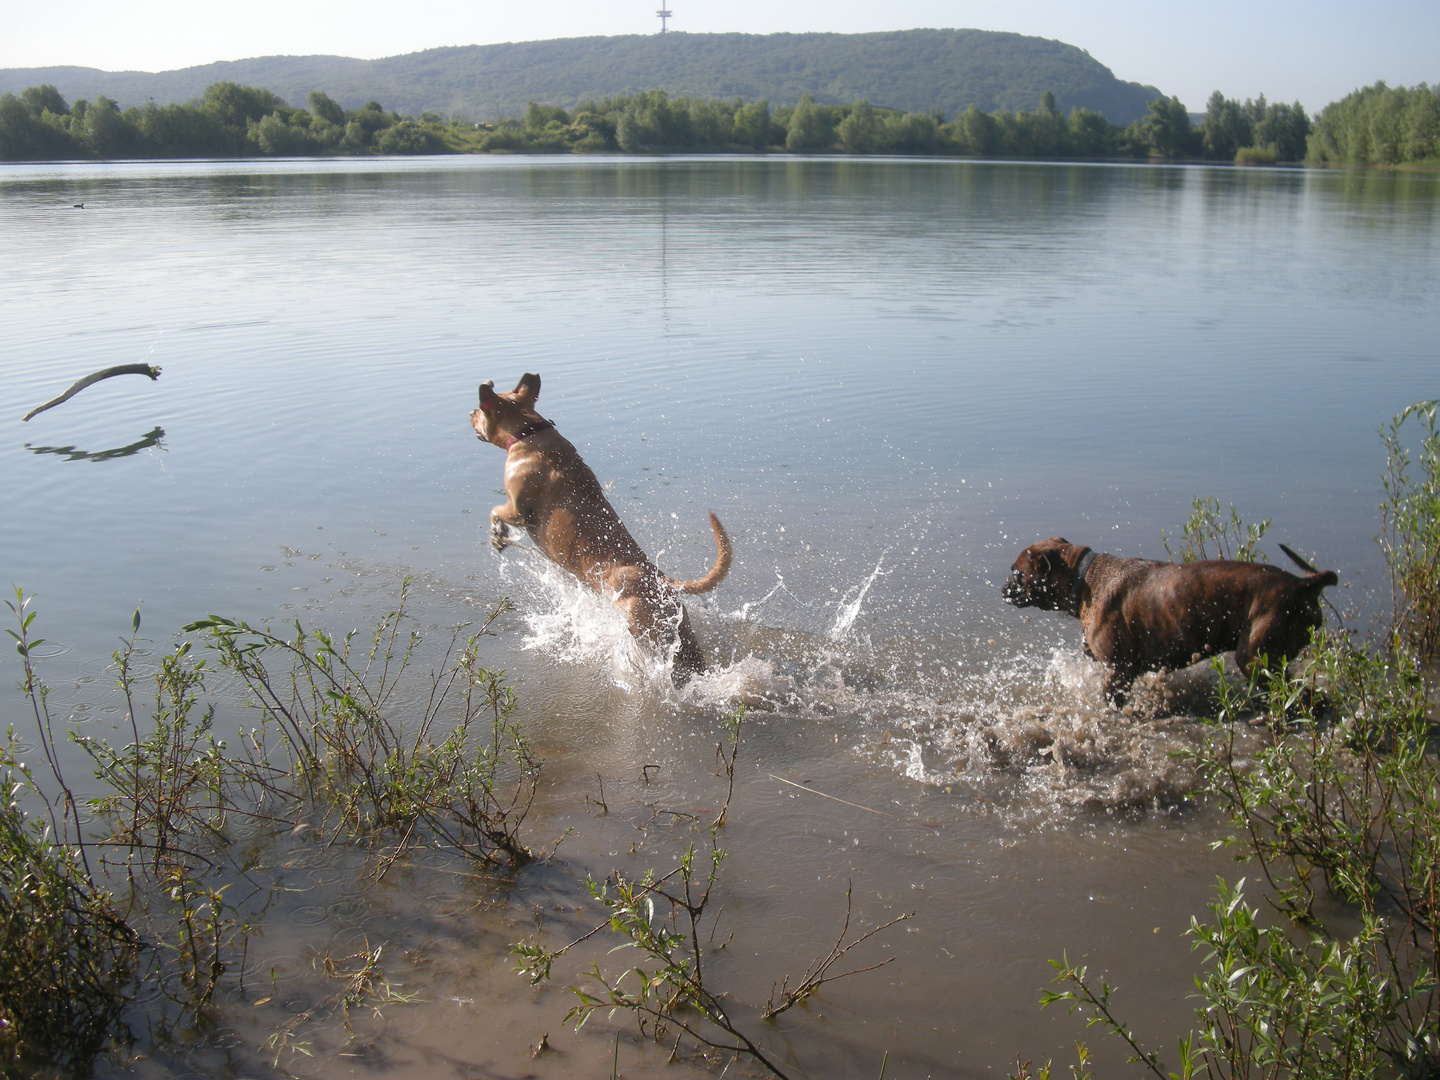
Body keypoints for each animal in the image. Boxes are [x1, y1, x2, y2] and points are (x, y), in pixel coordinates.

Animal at [469, 377, 731, 679]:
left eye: (479, 410)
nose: (469, 414)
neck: (528, 431)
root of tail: (661, 580)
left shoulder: (516, 508)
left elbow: (495, 512)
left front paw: (497, 537)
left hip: (644, 631)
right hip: (681, 631)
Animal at [1002, 541, 1336, 711]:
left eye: (1017, 574)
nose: (1003, 588)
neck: (1085, 579)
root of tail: (1303, 585)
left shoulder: (1120, 672)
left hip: (1255, 658)